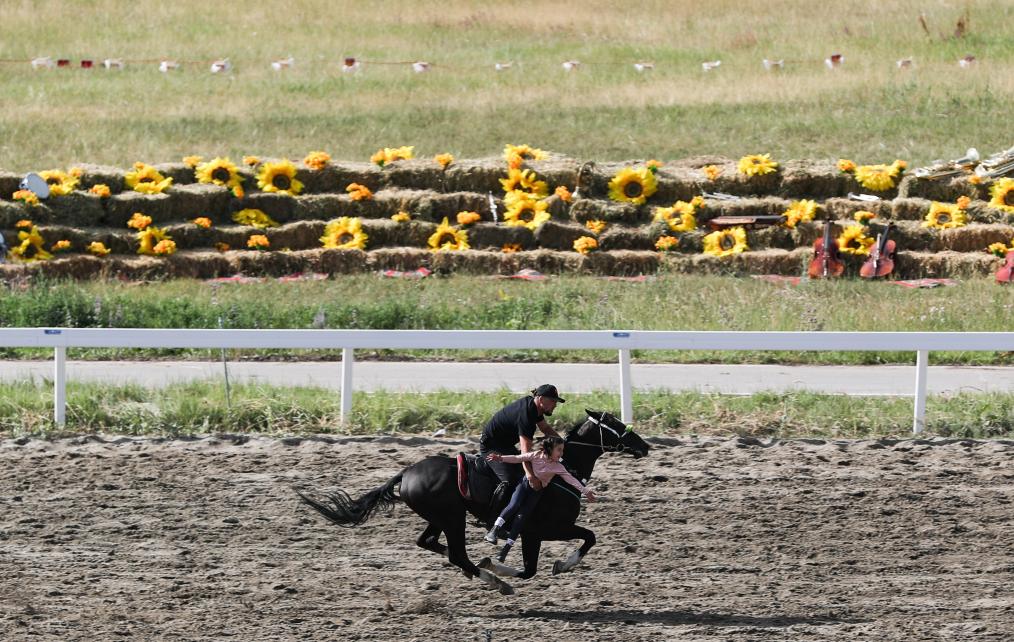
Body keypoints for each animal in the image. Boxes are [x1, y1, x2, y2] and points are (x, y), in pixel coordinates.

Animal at [296, 409, 650, 595]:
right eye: (617, 425)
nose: (645, 446)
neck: (559, 472)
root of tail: (406, 472)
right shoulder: (542, 530)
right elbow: (545, 561)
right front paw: (554, 564)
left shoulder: (537, 532)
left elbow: (578, 543)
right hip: (453, 519)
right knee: (457, 554)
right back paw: (492, 579)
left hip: (440, 518)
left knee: (429, 543)